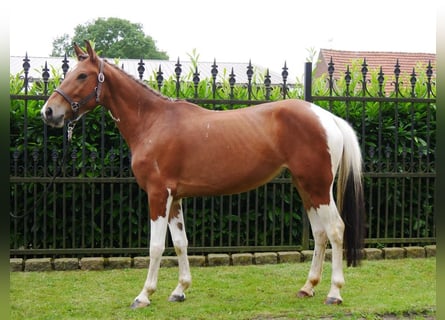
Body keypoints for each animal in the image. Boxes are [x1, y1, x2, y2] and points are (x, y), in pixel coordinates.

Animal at [40, 40, 364, 308]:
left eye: (82, 76)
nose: (49, 112)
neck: (153, 122)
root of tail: (327, 117)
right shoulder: (175, 198)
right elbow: (180, 243)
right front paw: (179, 290)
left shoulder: (158, 194)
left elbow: (156, 246)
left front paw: (144, 295)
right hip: (306, 187)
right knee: (320, 233)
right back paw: (308, 287)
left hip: (318, 187)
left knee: (336, 230)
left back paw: (334, 293)